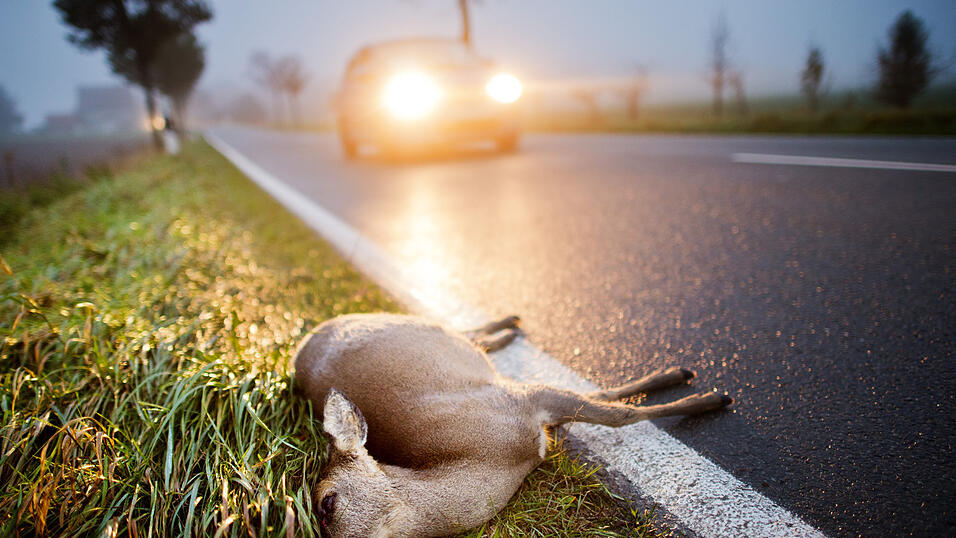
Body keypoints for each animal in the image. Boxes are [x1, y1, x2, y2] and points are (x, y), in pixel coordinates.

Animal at [293, 313, 732, 537]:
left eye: (326, 503)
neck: (496, 458)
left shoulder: (520, 400)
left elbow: (619, 412)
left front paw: (706, 397)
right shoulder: (527, 404)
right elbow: (608, 404)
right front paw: (692, 387)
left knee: (462, 328)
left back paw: (509, 324)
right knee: (468, 333)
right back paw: (507, 330)